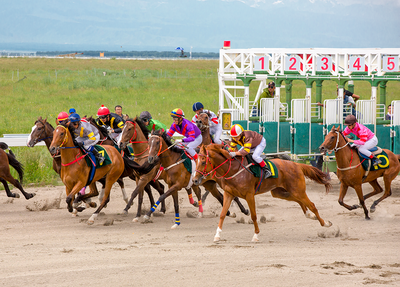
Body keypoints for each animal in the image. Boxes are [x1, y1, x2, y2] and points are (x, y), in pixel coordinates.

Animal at [194, 144, 332, 243]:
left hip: (298, 190)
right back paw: (310, 215)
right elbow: (223, 214)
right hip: (280, 192)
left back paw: (325, 223)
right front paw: (217, 235)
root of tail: (296, 164)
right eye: (196, 161)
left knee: (312, 205)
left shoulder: (249, 195)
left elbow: (254, 216)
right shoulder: (229, 193)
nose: (195, 180)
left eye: (203, 162)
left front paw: (255, 236)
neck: (233, 169)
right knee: (299, 201)